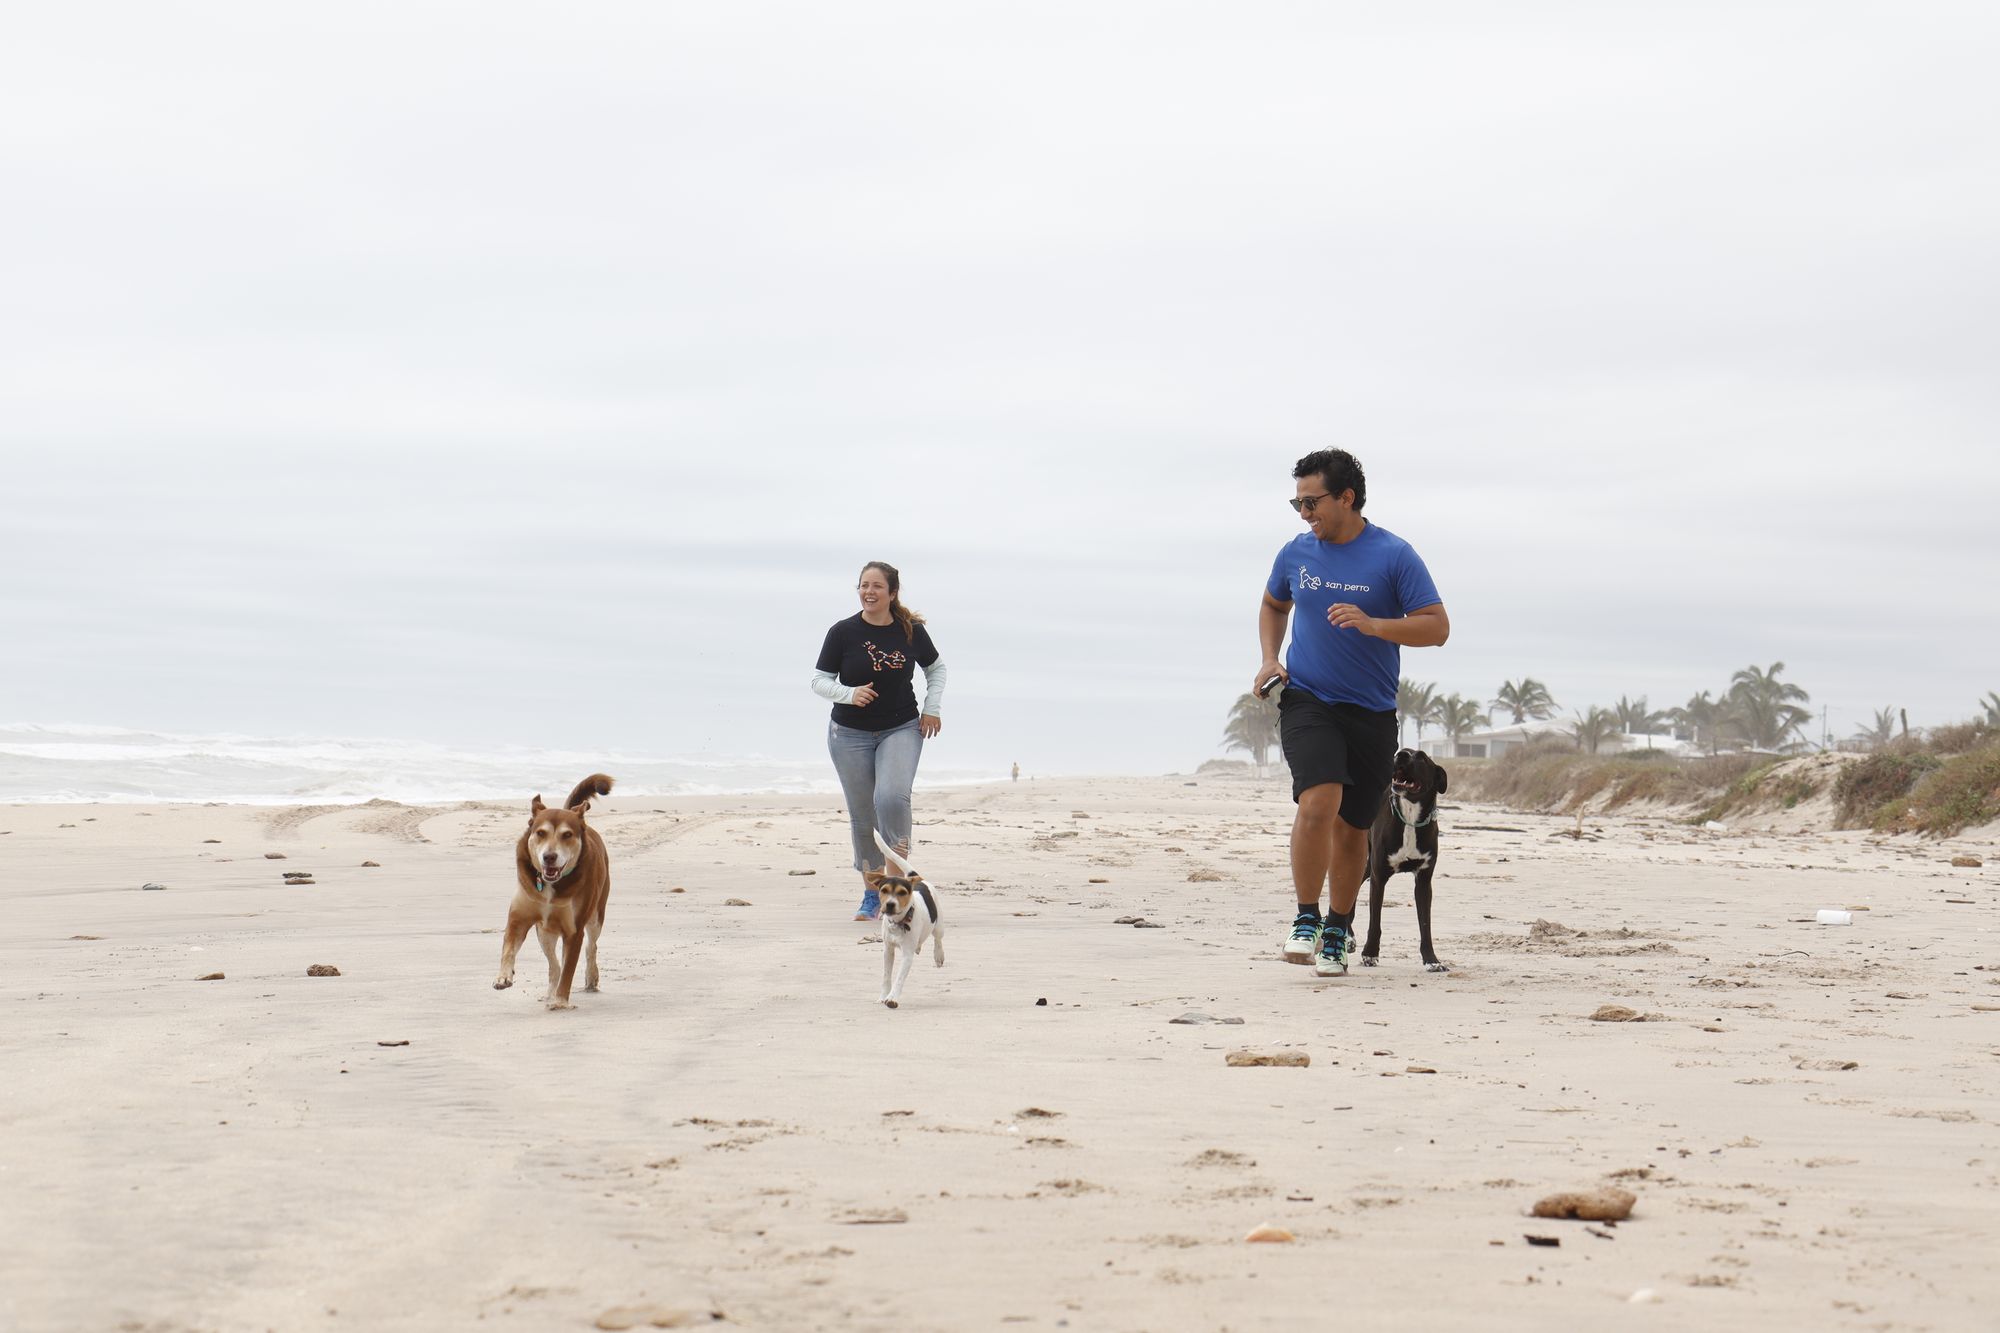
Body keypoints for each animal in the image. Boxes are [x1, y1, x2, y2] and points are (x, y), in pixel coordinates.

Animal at [492, 768, 608, 1008]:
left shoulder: (574, 930)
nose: (549, 856)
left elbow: (569, 970)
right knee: (554, 965)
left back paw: (590, 979)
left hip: (596, 916)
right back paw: (549, 992)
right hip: (545, 931)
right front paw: (503, 977)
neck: (551, 886)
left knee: (591, 946)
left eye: (567, 835)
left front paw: (561, 1001)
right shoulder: (519, 918)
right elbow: (508, 949)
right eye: (540, 833)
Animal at [1360, 748, 1456, 964]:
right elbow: (1374, 922)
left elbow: (1425, 925)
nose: (1401, 754)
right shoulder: (1378, 878)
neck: (1410, 817)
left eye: (1421, 757)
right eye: (1399, 752)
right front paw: (1370, 953)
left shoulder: (1424, 880)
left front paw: (1432, 960)